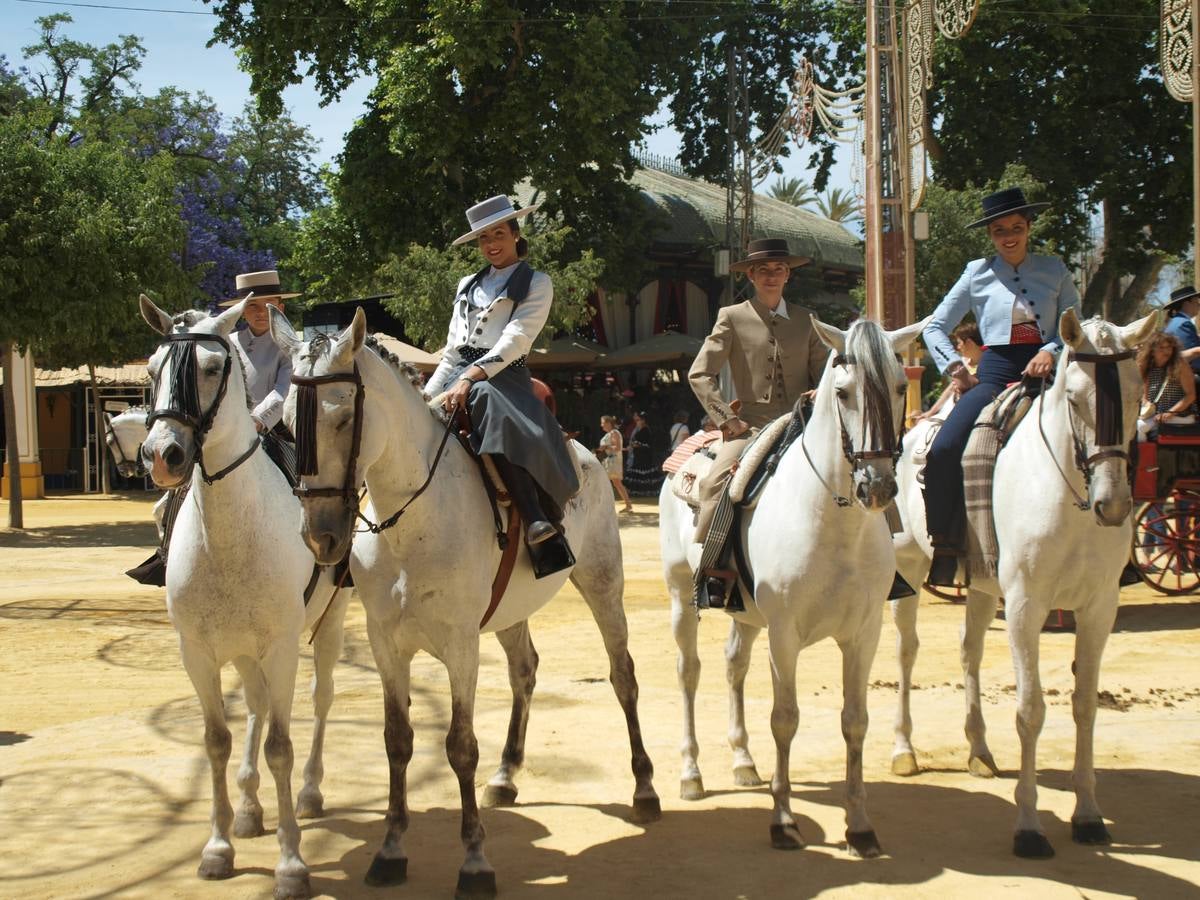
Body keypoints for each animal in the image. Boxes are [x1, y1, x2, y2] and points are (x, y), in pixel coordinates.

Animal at [140, 297, 352, 900]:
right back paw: (252, 806)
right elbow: (217, 740)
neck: (229, 529)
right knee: (255, 704)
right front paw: (218, 847)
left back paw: (308, 793)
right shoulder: (198, 652)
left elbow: (281, 744)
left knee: (319, 700)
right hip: (239, 650)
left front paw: (292, 863)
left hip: (327, 627)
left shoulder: (280, 647)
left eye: (212, 368)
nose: (162, 455)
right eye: (152, 369)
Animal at [270, 309, 657, 897]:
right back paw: (506, 774)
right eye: (291, 425)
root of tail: (583, 451)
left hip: (602, 583)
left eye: (342, 418)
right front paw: (390, 850)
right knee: (525, 671)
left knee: (623, 676)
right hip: (510, 612)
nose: (322, 536)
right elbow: (398, 740)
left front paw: (475, 861)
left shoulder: (460, 645)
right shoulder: (386, 644)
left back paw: (644, 788)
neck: (410, 521)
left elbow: (460, 746)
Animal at [662, 321, 921, 854]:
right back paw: (691, 774)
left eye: (900, 387)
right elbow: (785, 718)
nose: (877, 487)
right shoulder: (785, 634)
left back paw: (743, 762)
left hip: (745, 612)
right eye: (842, 393)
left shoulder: (864, 634)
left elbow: (855, 721)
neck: (834, 522)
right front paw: (783, 820)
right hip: (681, 595)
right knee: (689, 673)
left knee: (734, 665)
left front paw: (859, 825)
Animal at [892, 312, 1152, 859]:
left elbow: (1085, 704)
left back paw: (979, 749)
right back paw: (904, 750)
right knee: (906, 652)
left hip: (980, 582)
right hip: (908, 569)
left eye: (1138, 393)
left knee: (968, 650)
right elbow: (1031, 710)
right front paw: (1029, 826)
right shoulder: (1026, 605)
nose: (1115, 505)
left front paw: (1088, 814)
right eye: (1074, 397)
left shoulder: (1100, 608)